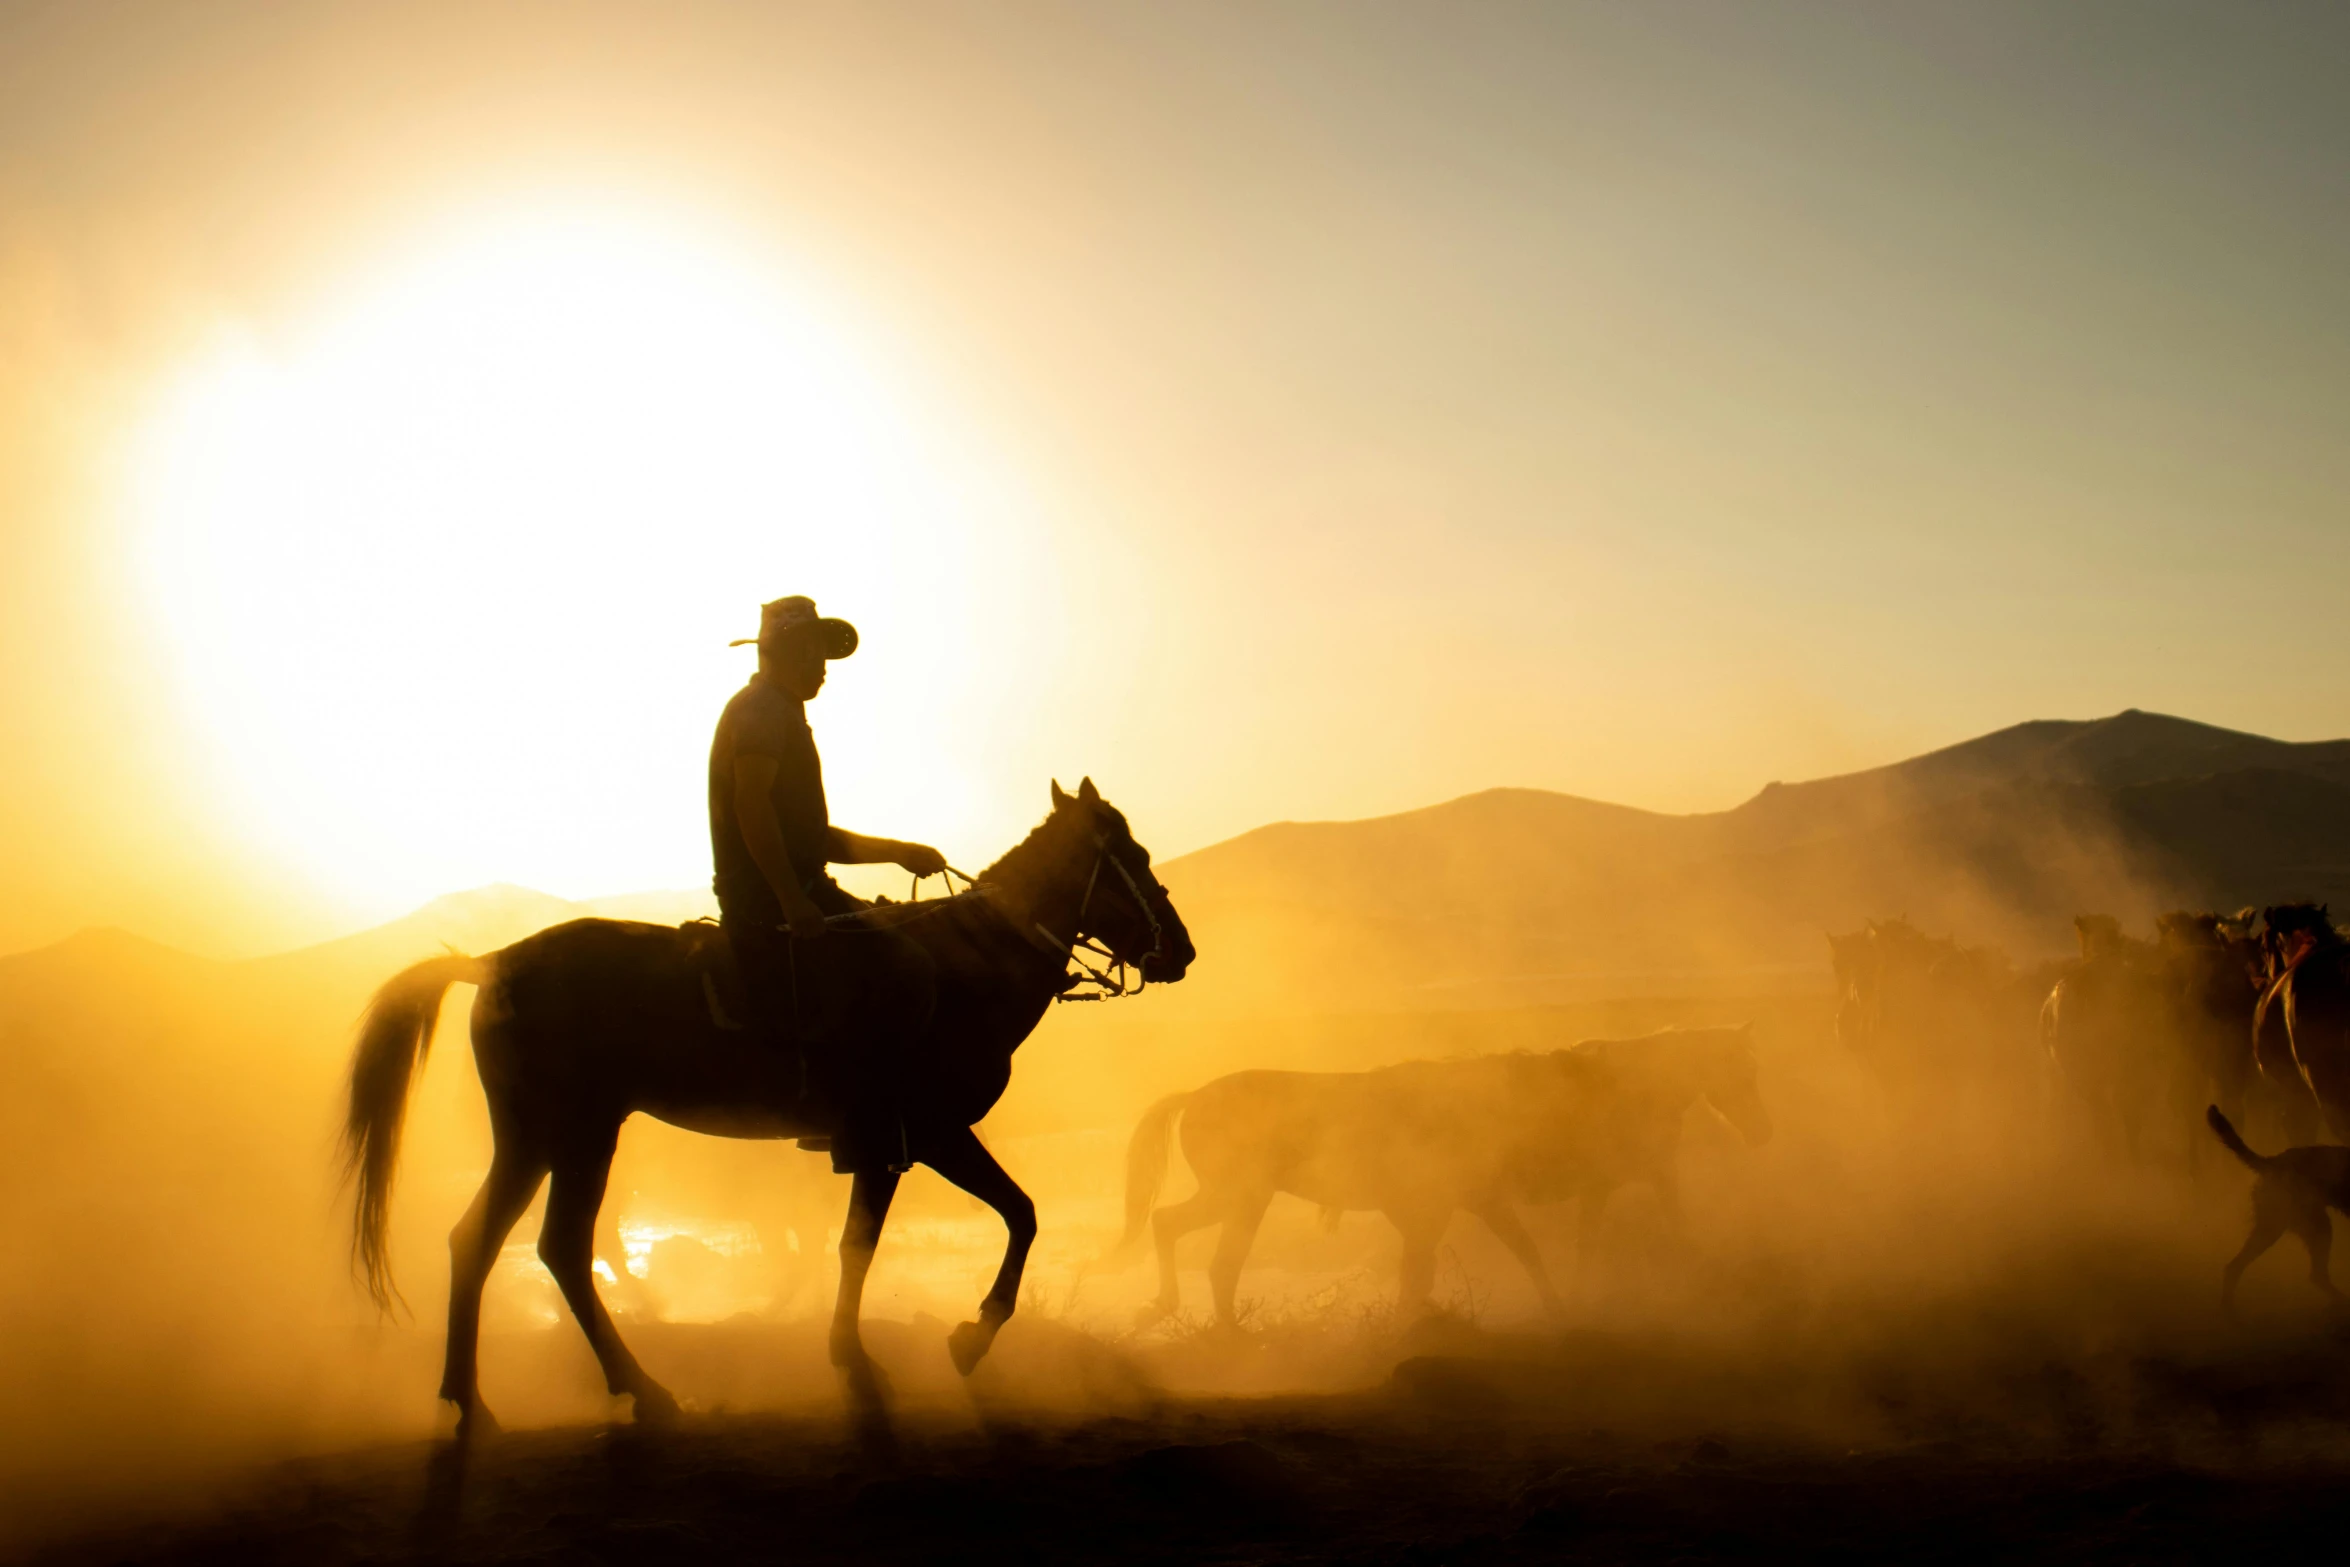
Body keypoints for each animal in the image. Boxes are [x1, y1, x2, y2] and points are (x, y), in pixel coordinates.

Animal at [336, 779, 1193, 1437]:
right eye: (1133, 859)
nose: (1180, 950)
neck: (963, 967)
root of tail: (492, 963)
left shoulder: (901, 1142)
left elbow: (924, 1231)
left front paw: (894, 1350)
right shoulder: (920, 1133)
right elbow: (979, 1222)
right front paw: (948, 1343)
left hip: (546, 1136)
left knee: (494, 1243)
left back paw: (478, 1397)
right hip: (571, 1134)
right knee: (551, 1247)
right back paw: (632, 1388)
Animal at [1095, 1033, 1767, 1334]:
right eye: (1740, 1070)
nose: (1758, 1131)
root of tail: (1195, 1096)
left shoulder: (1470, 1202)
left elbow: (1487, 1260)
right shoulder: (1466, 1203)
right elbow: (1500, 1257)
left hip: (1233, 1198)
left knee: (1172, 1228)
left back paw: (1170, 1308)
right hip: (1244, 1197)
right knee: (1216, 1260)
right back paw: (1224, 1331)